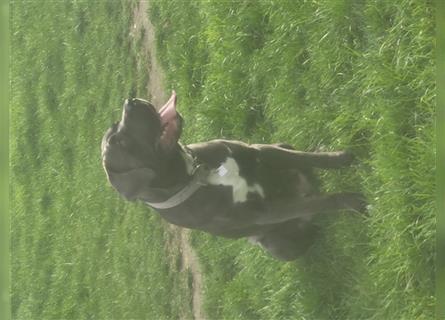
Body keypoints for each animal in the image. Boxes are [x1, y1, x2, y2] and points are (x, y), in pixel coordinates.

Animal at [101, 91, 364, 262]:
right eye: (119, 142)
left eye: (116, 128)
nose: (130, 100)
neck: (193, 174)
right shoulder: (264, 212)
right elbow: (320, 202)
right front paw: (353, 202)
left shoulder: (260, 151)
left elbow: (307, 159)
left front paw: (342, 157)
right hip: (278, 247)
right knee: (309, 222)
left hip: (282, 144)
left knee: (303, 166)